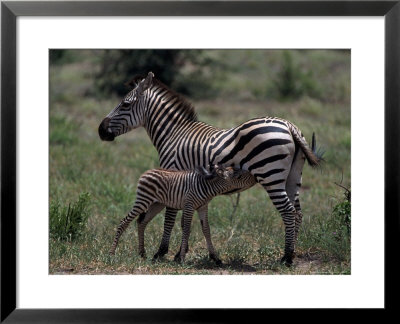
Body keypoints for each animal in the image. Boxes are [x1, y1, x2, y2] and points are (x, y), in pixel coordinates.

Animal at [109, 165, 253, 264]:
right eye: (238, 176)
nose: (254, 177)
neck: (208, 188)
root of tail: (146, 172)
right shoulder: (189, 206)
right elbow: (187, 229)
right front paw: (182, 258)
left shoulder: (203, 207)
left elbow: (206, 230)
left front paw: (215, 258)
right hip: (143, 200)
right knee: (124, 222)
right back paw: (112, 252)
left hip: (157, 204)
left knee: (142, 222)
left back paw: (142, 253)